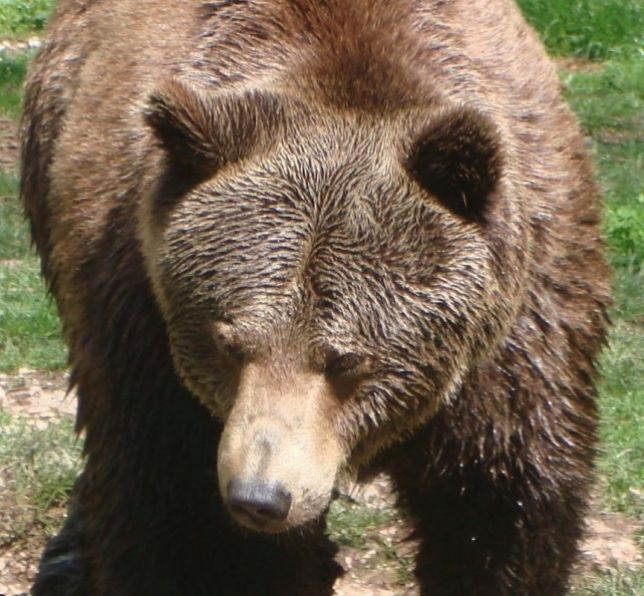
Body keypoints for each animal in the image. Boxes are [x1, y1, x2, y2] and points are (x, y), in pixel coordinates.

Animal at [21, 0, 611, 594]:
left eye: (347, 360)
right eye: (228, 344)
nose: (261, 497)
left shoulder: (513, 343)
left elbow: (501, 503)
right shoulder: (142, 326)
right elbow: (174, 518)